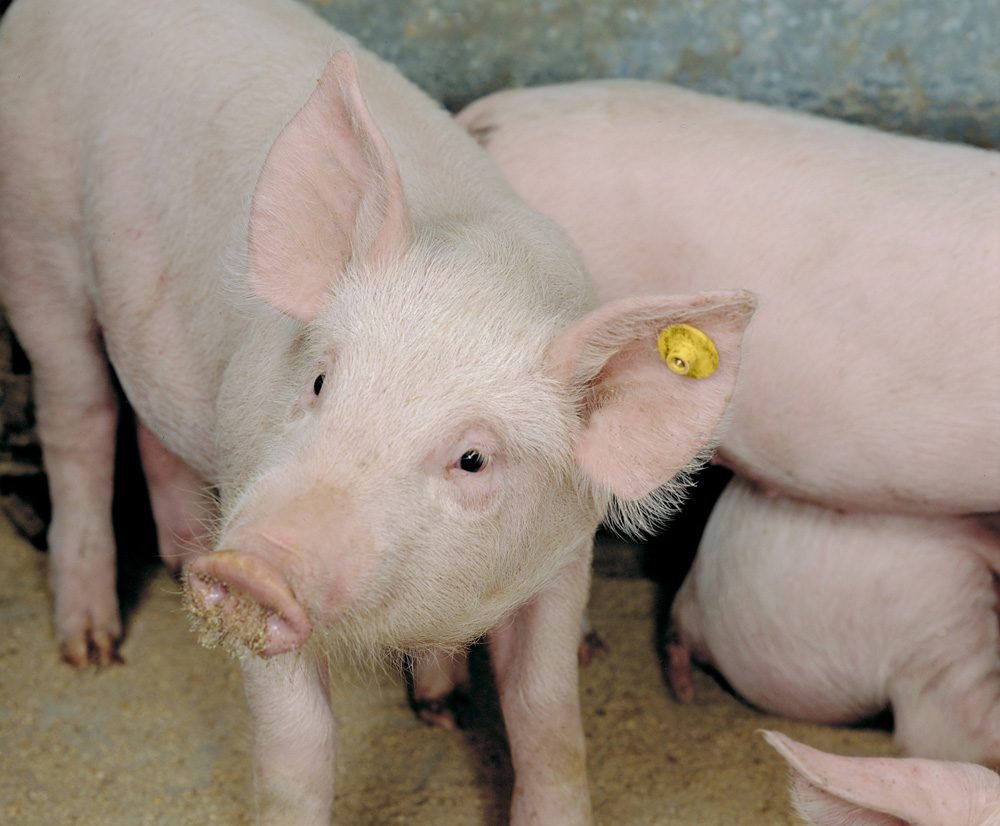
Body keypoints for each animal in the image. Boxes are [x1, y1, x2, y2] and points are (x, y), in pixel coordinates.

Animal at [0, 0, 755, 823]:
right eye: (321, 380)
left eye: (472, 458)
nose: (250, 564)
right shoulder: (246, 495)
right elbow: (297, 750)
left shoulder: (561, 558)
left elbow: (547, 717)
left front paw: (453, 705)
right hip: (36, 238)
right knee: (77, 412)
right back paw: (91, 650)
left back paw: (175, 561)